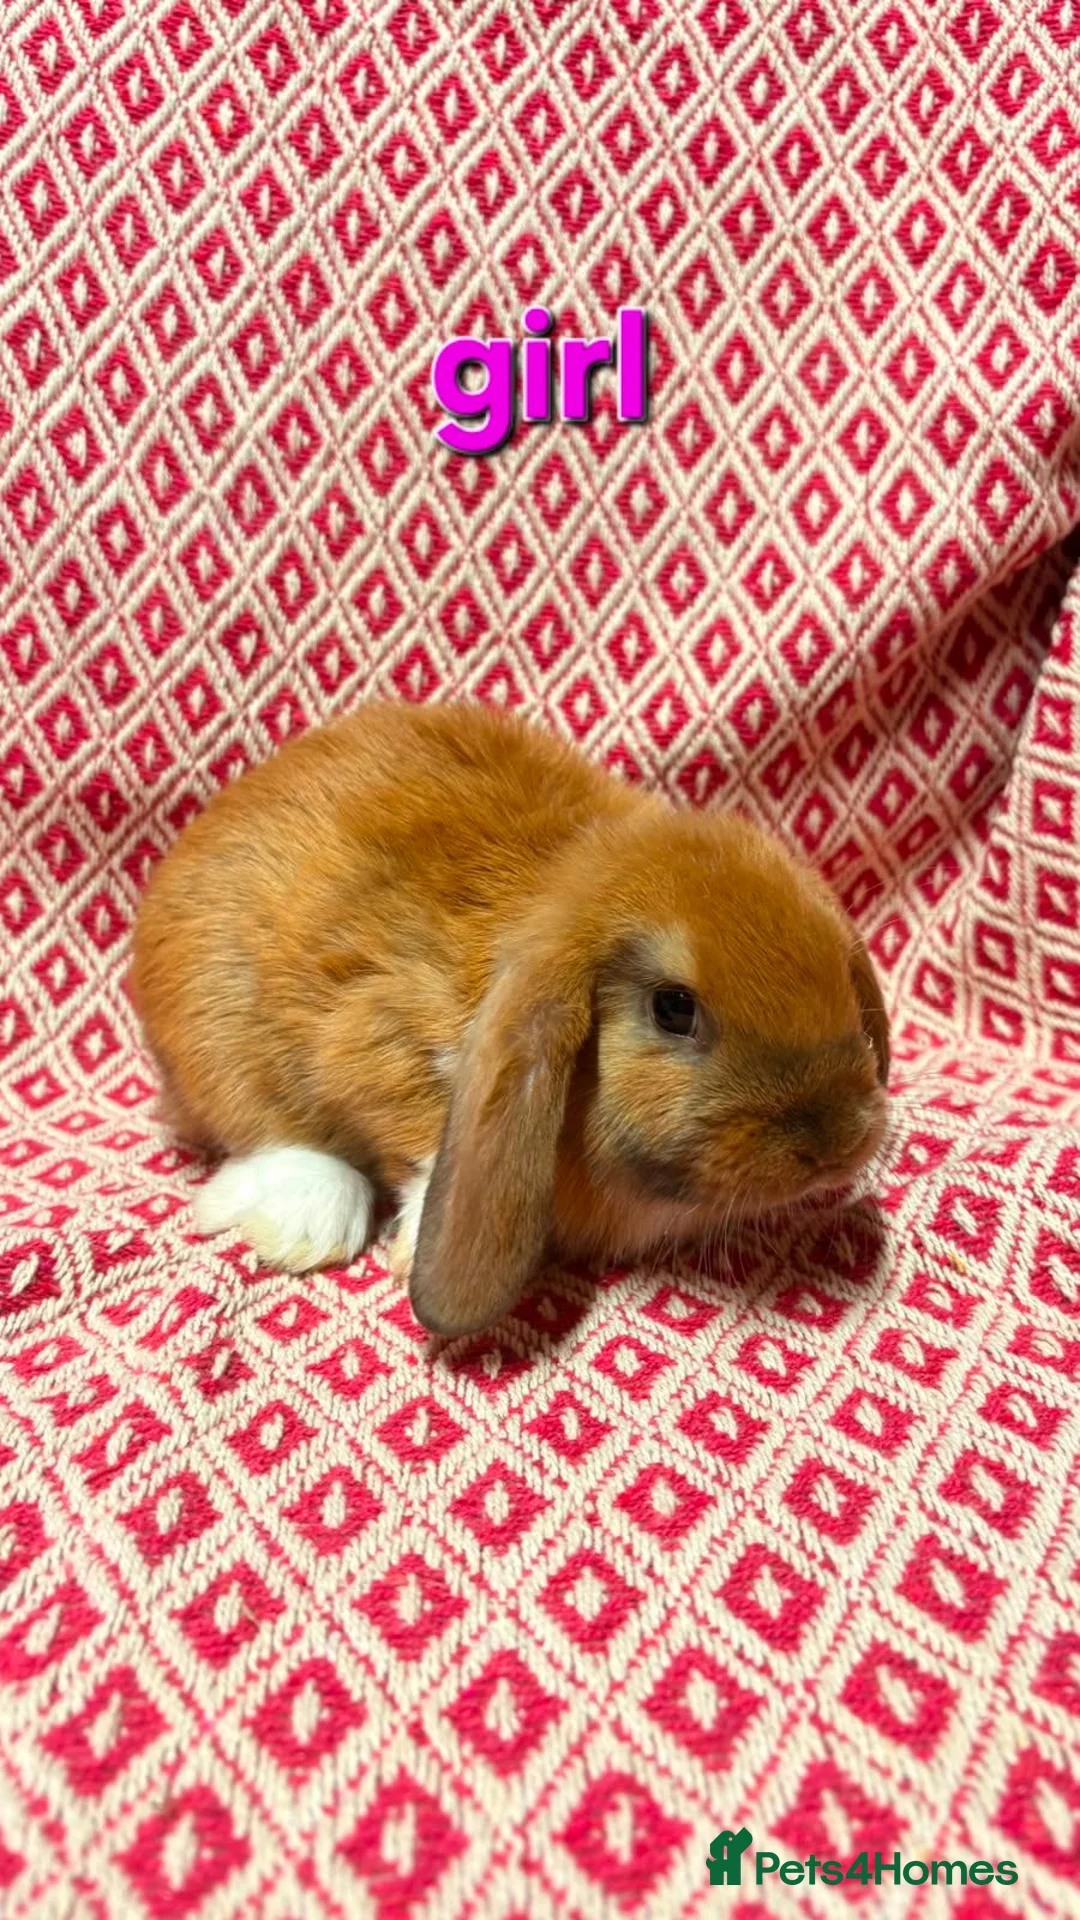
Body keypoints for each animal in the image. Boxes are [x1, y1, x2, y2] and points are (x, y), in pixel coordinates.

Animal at [130, 699, 890, 1336]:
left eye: (840, 978)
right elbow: (408, 1130)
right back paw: (305, 1226)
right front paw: (412, 1244)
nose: (836, 1143)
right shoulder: (374, 1039)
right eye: (674, 1009)